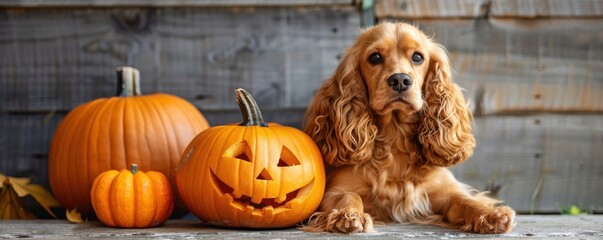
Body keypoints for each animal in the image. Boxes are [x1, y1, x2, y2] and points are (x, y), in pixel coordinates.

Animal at [302, 21, 516, 233]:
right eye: (375, 57)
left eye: (417, 57)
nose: (400, 80)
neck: (395, 137)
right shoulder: (334, 191)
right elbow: (349, 196)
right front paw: (349, 215)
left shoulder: (445, 190)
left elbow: (465, 200)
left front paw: (491, 214)